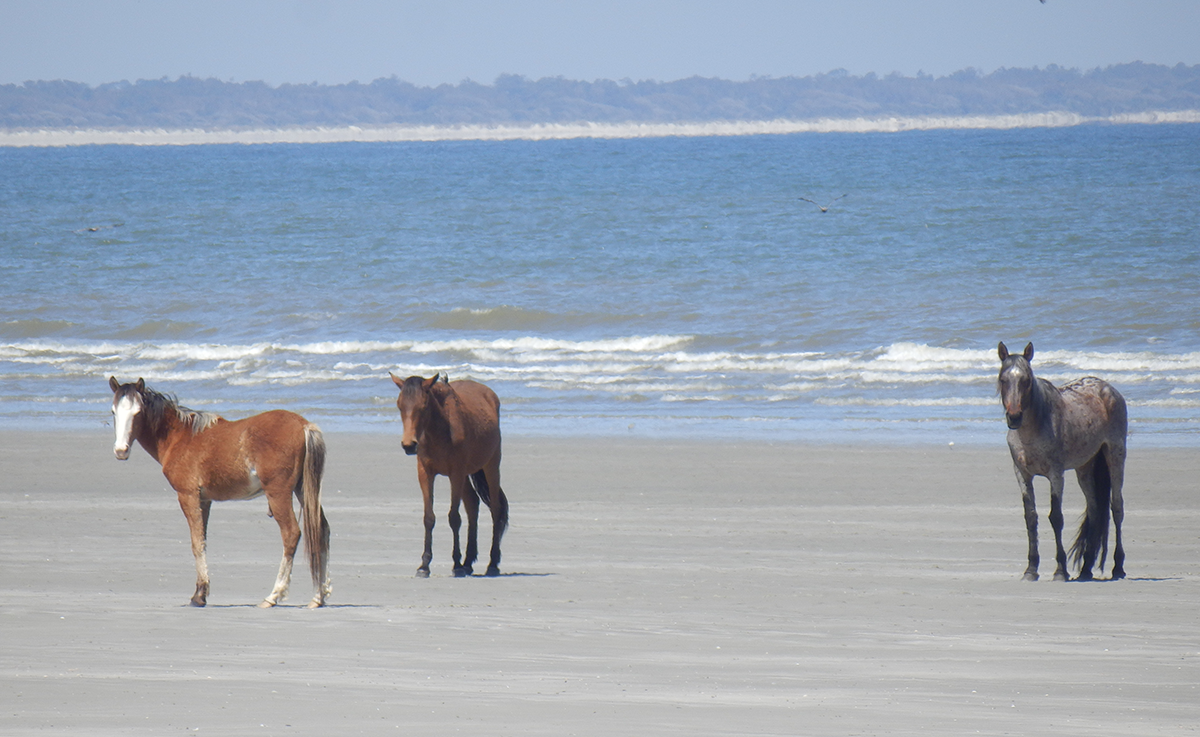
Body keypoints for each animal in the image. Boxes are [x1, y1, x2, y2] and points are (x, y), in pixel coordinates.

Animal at [108, 379, 331, 609]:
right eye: (113, 411)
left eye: (138, 412)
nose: (121, 450)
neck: (180, 436)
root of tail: (304, 426)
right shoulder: (205, 500)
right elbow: (203, 540)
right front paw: (201, 592)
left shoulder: (188, 496)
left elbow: (196, 543)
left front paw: (199, 595)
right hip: (303, 490)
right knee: (321, 529)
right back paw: (318, 596)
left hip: (278, 493)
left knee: (291, 534)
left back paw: (273, 595)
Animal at [391, 374, 508, 578]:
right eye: (400, 405)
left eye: (423, 406)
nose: (409, 445)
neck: (439, 431)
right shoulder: (425, 473)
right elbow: (429, 518)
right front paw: (424, 565)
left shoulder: (456, 473)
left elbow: (454, 518)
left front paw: (456, 564)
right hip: (467, 475)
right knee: (473, 506)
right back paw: (468, 562)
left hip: (490, 466)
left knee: (495, 509)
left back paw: (492, 563)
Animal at [998, 343, 1128, 583]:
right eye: (1003, 379)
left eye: (1026, 380)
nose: (1014, 416)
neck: (1032, 430)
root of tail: (1109, 389)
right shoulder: (1022, 474)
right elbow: (1031, 517)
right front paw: (1031, 569)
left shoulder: (1055, 474)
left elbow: (1056, 517)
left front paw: (1061, 570)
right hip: (1085, 467)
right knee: (1095, 510)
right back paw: (1086, 569)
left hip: (1115, 456)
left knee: (1116, 508)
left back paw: (1118, 567)